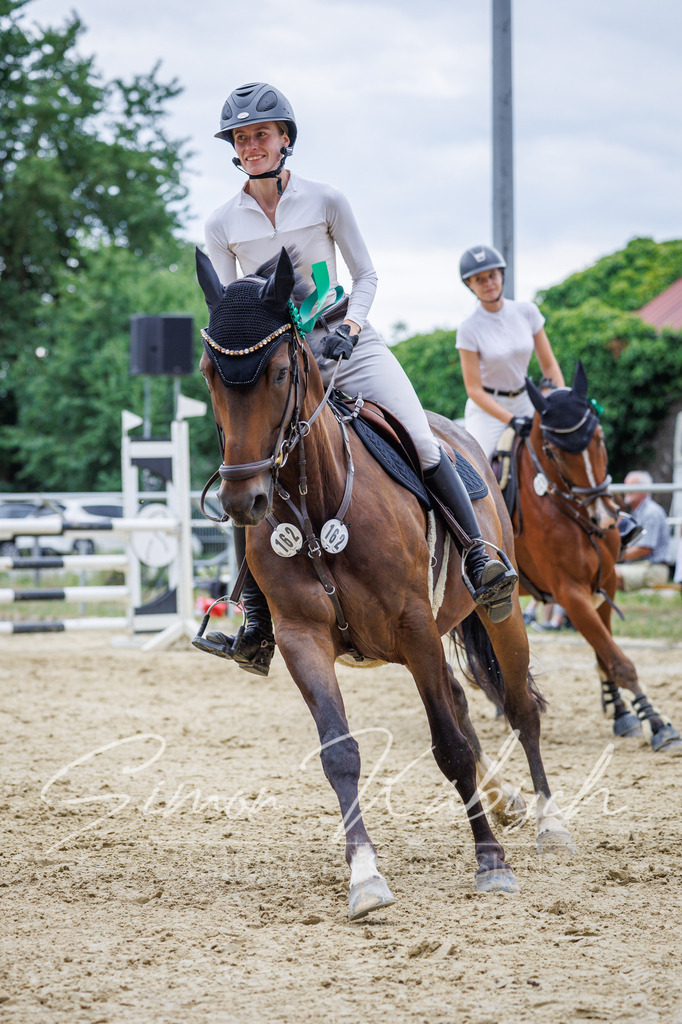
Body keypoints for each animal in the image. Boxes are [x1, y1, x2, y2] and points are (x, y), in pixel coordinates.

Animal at [194, 246, 575, 921]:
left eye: (279, 373)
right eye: (211, 373)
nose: (245, 500)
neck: (317, 506)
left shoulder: (414, 625)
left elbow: (449, 746)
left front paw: (491, 863)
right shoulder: (303, 638)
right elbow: (340, 752)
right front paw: (365, 877)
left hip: (496, 614)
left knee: (520, 708)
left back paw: (547, 822)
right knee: (463, 703)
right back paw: (502, 803)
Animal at [509, 362, 681, 754]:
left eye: (599, 437)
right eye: (555, 452)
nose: (604, 518)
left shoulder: (605, 582)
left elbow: (604, 657)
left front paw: (622, 713)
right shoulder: (570, 593)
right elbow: (618, 660)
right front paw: (656, 723)